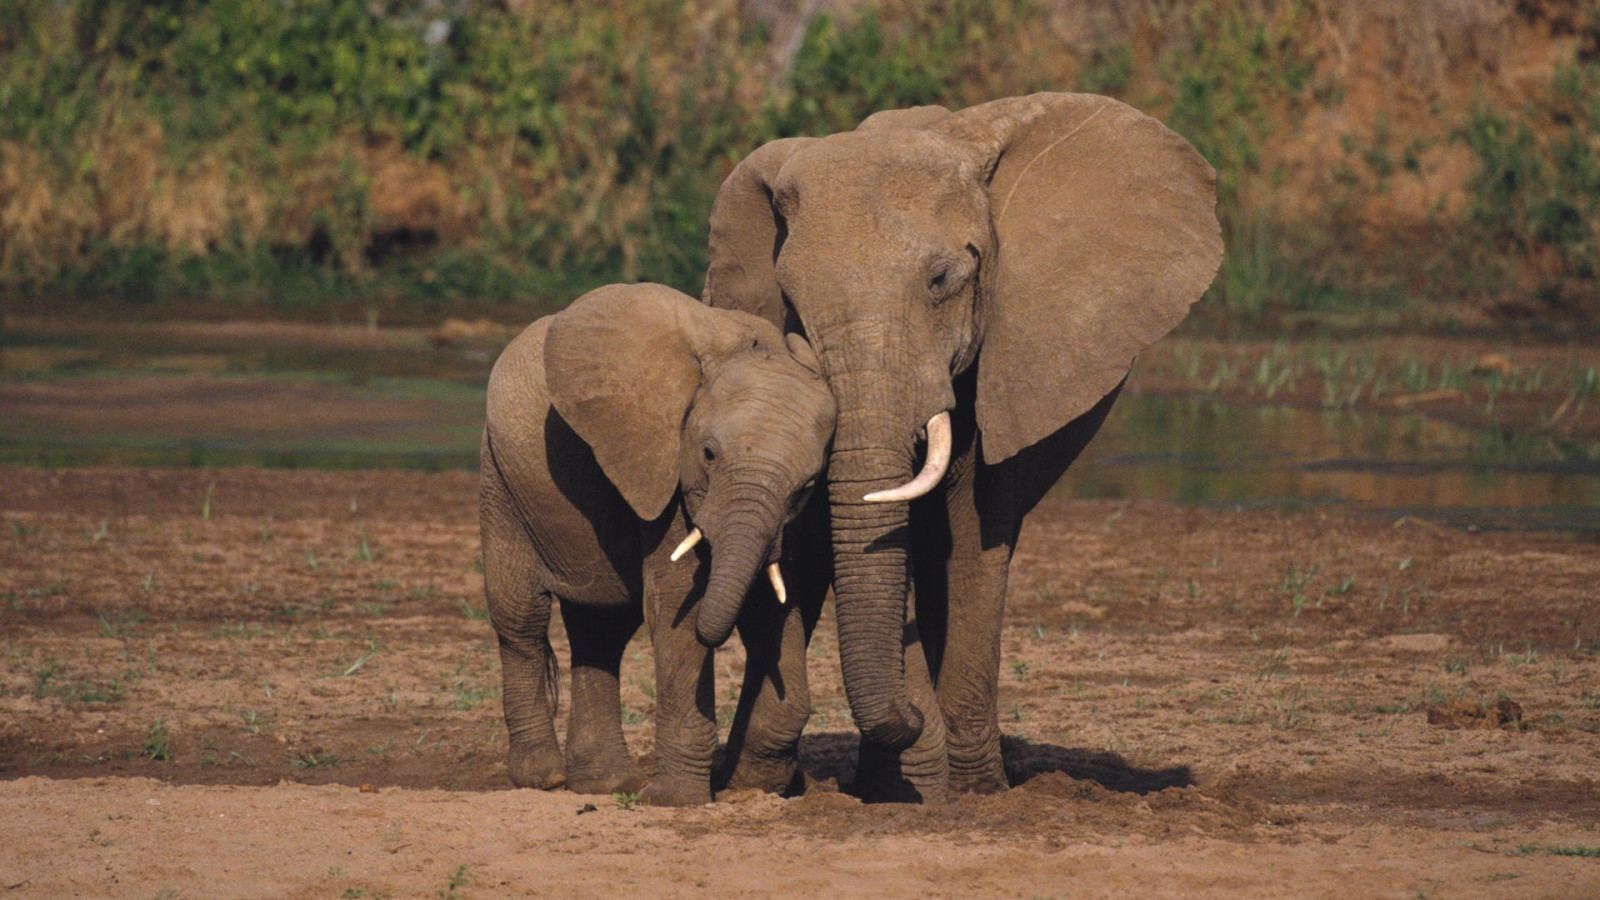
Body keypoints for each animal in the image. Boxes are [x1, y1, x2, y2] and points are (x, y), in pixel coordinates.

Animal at [479, 282, 836, 806]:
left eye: (808, 485)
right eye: (708, 454)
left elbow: (772, 604)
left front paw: (757, 786)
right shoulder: (664, 469)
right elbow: (676, 605)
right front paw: (674, 800)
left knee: (601, 629)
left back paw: (605, 785)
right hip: (502, 479)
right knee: (521, 618)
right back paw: (546, 778)